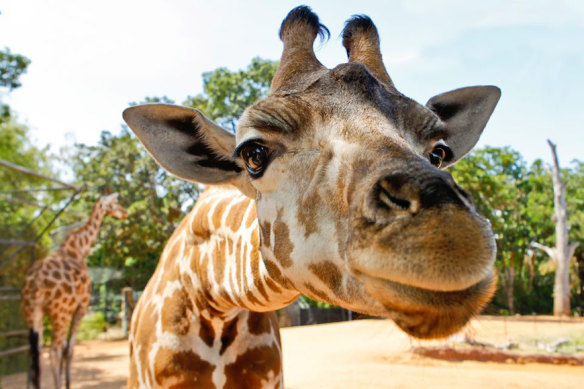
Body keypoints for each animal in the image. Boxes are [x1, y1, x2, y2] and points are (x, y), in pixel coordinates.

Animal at [22, 192, 129, 386]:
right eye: (115, 203)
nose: (125, 212)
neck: (80, 249)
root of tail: (33, 284)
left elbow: (65, 348)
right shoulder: (82, 305)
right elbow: (69, 349)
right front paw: (67, 384)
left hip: (32, 313)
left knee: (35, 352)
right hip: (59, 313)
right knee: (54, 351)